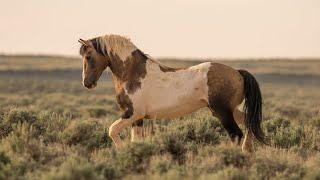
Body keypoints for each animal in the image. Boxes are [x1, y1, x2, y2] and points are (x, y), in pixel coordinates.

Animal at [79, 34, 264, 152]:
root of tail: (238, 73)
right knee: (249, 124)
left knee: (236, 134)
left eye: (88, 56)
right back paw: (247, 151)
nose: (87, 83)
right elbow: (135, 140)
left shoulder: (132, 113)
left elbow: (112, 130)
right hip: (229, 111)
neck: (133, 73)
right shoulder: (137, 118)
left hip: (222, 112)